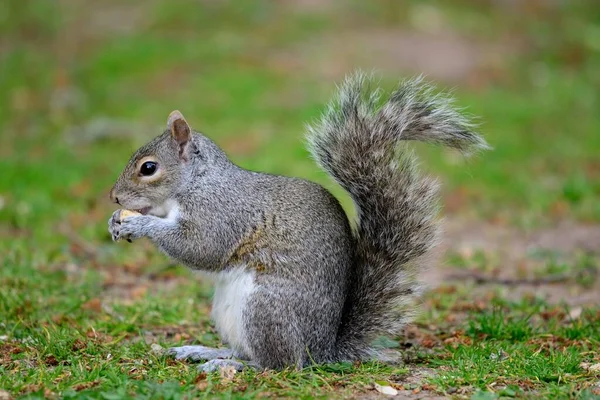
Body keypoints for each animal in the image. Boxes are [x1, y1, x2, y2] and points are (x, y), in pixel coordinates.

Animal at [108, 72, 488, 372]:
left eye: (148, 168)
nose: (114, 197)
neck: (197, 182)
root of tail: (322, 350)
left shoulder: (221, 213)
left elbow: (202, 249)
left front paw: (140, 225)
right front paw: (117, 221)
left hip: (266, 308)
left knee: (278, 364)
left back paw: (230, 365)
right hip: (229, 312)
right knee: (249, 352)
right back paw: (204, 351)